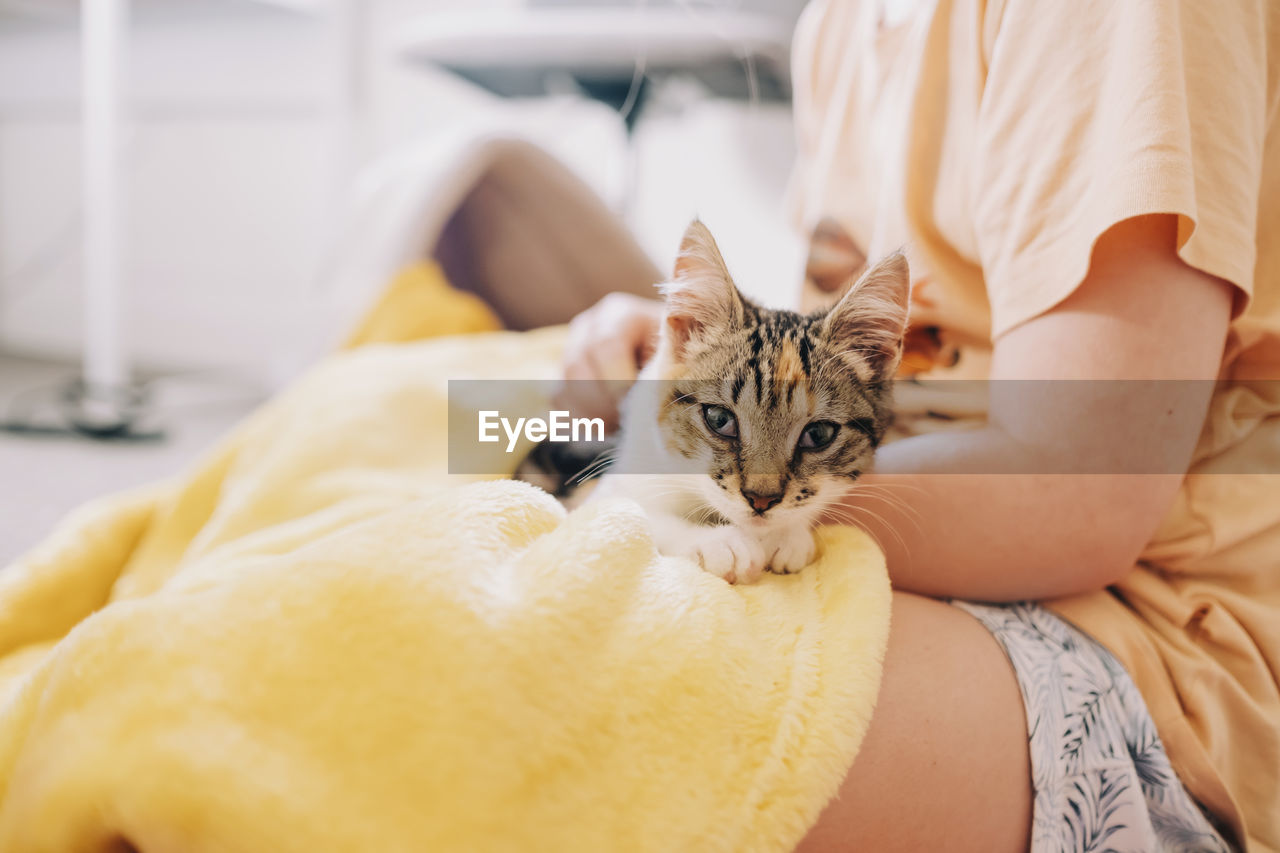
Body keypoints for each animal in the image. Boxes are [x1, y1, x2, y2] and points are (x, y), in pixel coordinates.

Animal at [529, 219, 911, 581]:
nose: (761, 498)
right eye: (718, 419)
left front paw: (788, 534)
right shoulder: (608, 486)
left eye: (818, 435)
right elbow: (633, 514)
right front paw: (718, 541)